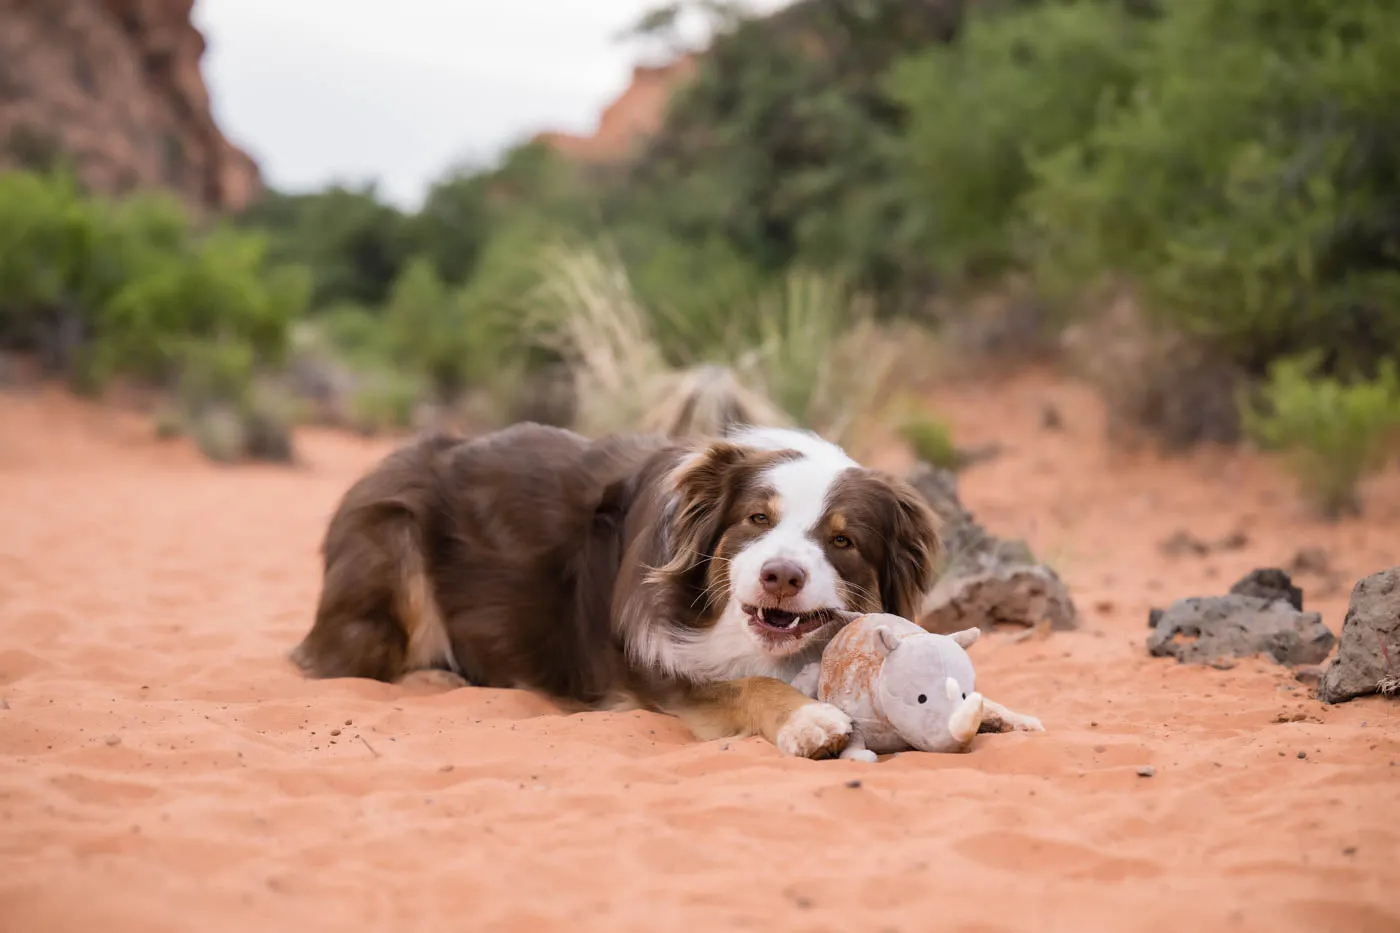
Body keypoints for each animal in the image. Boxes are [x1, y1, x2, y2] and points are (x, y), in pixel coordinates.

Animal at [292, 420, 952, 756]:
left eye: (843, 541)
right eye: (756, 519)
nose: (781, 576)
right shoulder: (659, 668)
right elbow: (748, 686)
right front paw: (809, 720)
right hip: (392, 538)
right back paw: (433, 677)